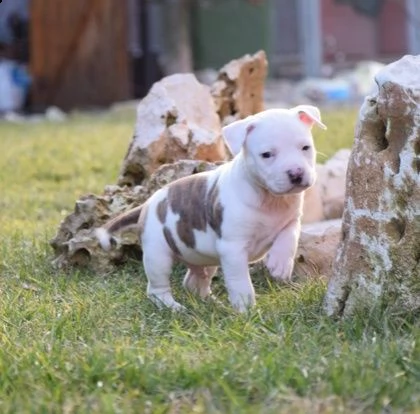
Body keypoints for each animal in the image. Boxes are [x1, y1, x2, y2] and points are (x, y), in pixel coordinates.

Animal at [97, 105, 326, 312]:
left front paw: (280, 264)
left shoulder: (291, 220)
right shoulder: (233, 249)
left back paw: (211, 303)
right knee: (157, 288)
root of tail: (147, 203)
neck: (270, 199)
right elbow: (240, 282)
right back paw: (172, 307)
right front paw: (246, 310)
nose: (296, 173)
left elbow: (289, 237)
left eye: (305, 148)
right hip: (157, 254)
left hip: (201, 257)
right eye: (267, 154)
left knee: (194, 281)